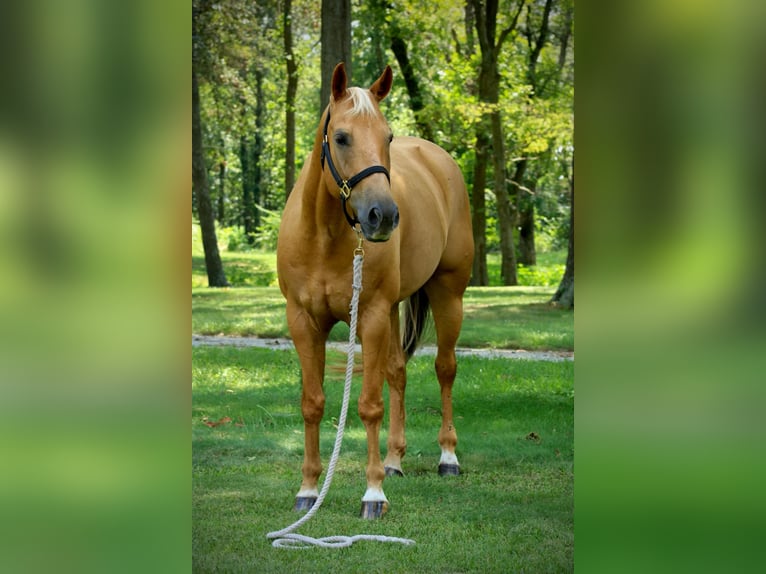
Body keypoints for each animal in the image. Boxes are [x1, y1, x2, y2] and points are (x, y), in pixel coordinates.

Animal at [276, 64, 474, 520]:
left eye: (387, 136)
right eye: (341, 137)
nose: (382, 216)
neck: (324, 236)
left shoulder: (368, 318)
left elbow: (369, 406)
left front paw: (373, 494)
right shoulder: (303, 322)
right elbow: (312, 403)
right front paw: (308, 489)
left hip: (447, 295)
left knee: (445, 369)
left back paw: (447, 457)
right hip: (394, 310)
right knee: (397, 373)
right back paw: (394, 460)